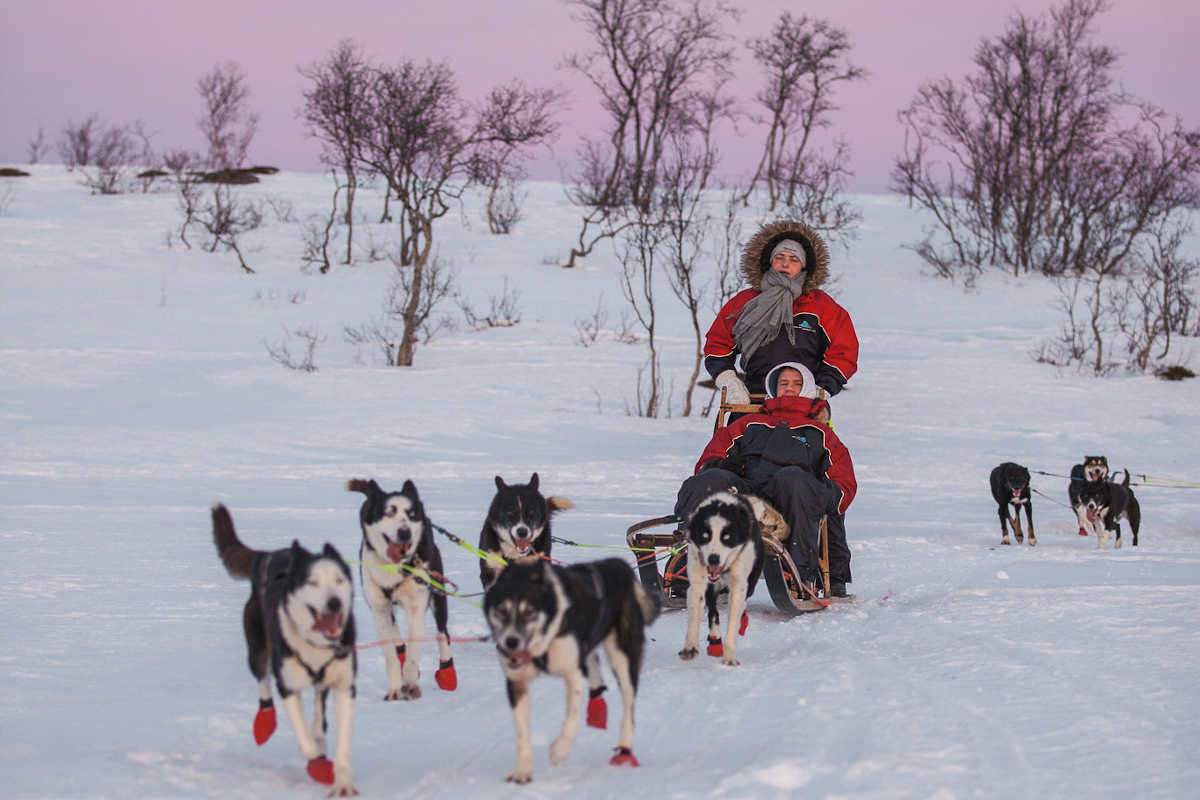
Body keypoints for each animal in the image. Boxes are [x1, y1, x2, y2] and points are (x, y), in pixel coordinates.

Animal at [208, 503, 357, 796]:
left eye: (339, 580)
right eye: (312, 582)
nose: (334, 603)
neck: (315, 643)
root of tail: (269, 554)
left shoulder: (344, 684)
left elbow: (340, 741)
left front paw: (342, 781)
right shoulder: (288, 685)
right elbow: (305, 743)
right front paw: (318, 764)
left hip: (322, 681)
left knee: (319, 715)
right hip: (257, 650)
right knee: (263, 682)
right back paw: (265, 722)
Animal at [350, 479, 460, 695]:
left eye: (412, 515)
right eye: (388, 512)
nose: (404, 532)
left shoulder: (416, 606)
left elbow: (414, 650)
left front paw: (409, 682)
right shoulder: (379, 608)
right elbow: (391, 652)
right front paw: (395, 687)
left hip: (438, 596)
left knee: (442, 632)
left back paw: (447, 673)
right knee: (397, 637)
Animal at [480, 556, 667, 782]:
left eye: (529, 611)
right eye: (501, 610)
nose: (511, 641)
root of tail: (617, 563)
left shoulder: (574, 673)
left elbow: (572, 719)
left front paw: (560, 750)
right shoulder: (517, 682)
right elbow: (522, 732)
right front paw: (522, 770)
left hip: (623, 660)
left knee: (628, 709)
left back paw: (624, 750)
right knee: (593, 662)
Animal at [681, 491, 763, 666]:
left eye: (727, 537)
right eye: (705, 536)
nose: (713, 559)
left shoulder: (739, 585)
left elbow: (733, 620)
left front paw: (730, 656)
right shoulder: (698, 582)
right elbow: (697, 613)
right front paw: (691, 647)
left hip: (750, 582)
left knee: (742, 604)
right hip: (711, 588)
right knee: (713, 612)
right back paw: (714, 640)